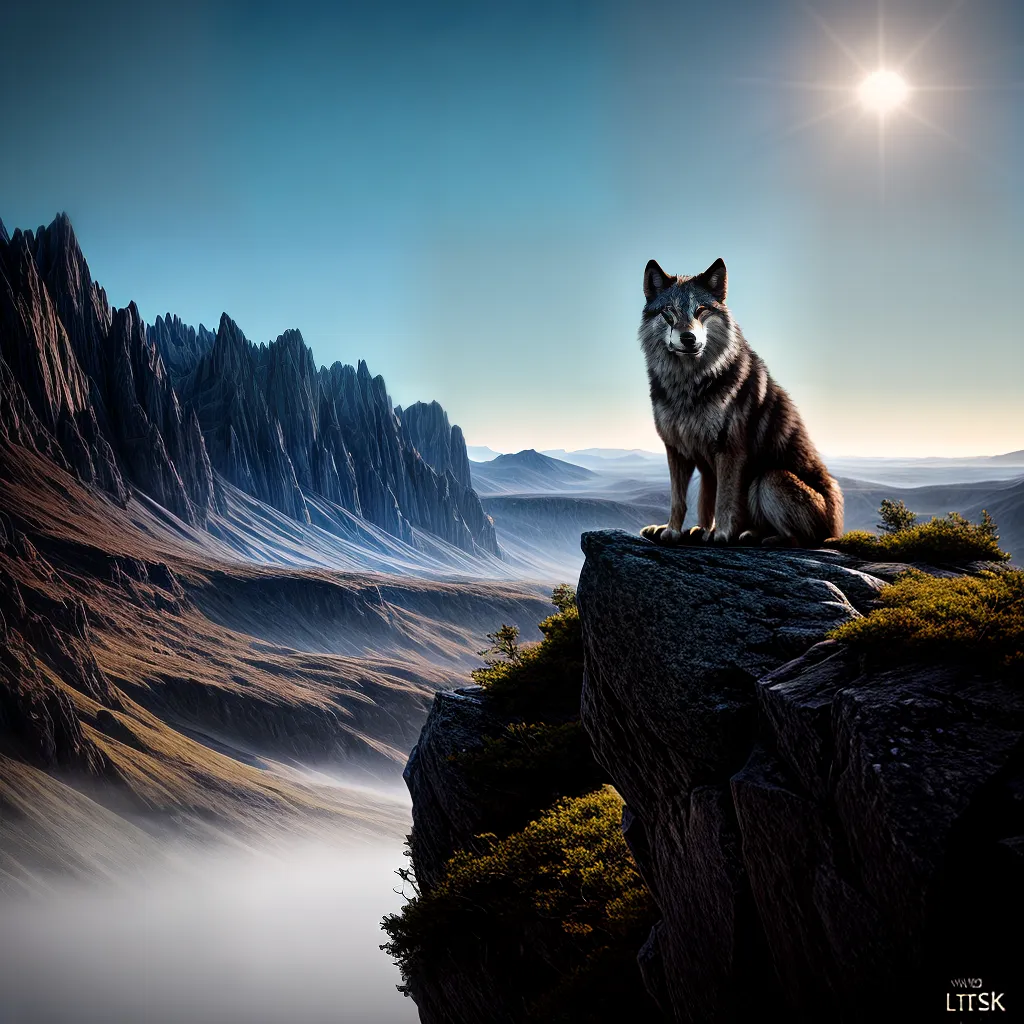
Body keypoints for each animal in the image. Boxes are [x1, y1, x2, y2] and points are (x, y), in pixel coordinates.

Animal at [638, 257, 843, 548]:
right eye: (669, 312)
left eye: (701, 310)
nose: (688, 338)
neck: (689, 384)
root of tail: (836, 528)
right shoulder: (678, 450)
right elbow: (685, 501)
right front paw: (675, 531)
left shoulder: (730, 450)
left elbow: (724, 499)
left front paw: (721, 534)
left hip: (768, 479)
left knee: (799, 539)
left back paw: (758, 537)